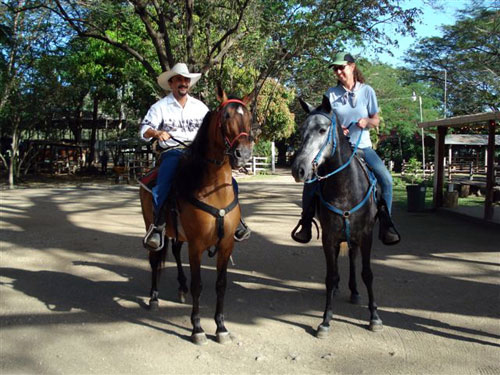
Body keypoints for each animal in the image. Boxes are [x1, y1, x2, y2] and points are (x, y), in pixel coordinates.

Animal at [292, 97, 380, 338]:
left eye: (322, 130)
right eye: (301, 130)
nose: (298, 169)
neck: (345, 189)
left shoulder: (366, 235)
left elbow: (368, 273)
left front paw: (374, 317)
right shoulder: (329, 237)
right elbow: (330, 277)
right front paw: (325, 320)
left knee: (352, 258)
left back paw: (355, 291)